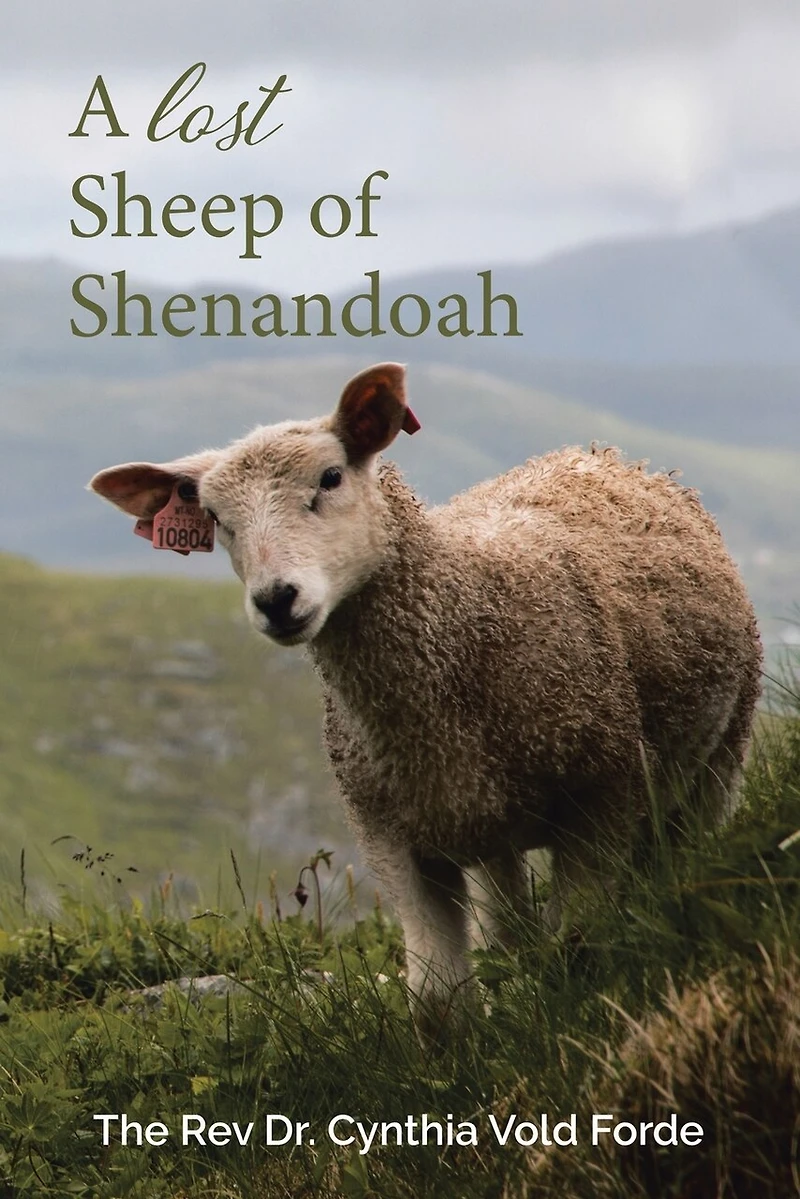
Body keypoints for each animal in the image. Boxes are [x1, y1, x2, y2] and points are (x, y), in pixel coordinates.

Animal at [90, 362, 763, 1039]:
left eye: (330, 477)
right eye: (214, 516)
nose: (276, 600)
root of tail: (599, 454)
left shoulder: (604, 794)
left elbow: (576, 947)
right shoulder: (391, 832)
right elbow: (438, 1003)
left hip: (721, 751)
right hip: (487, 822)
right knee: (507, 925)